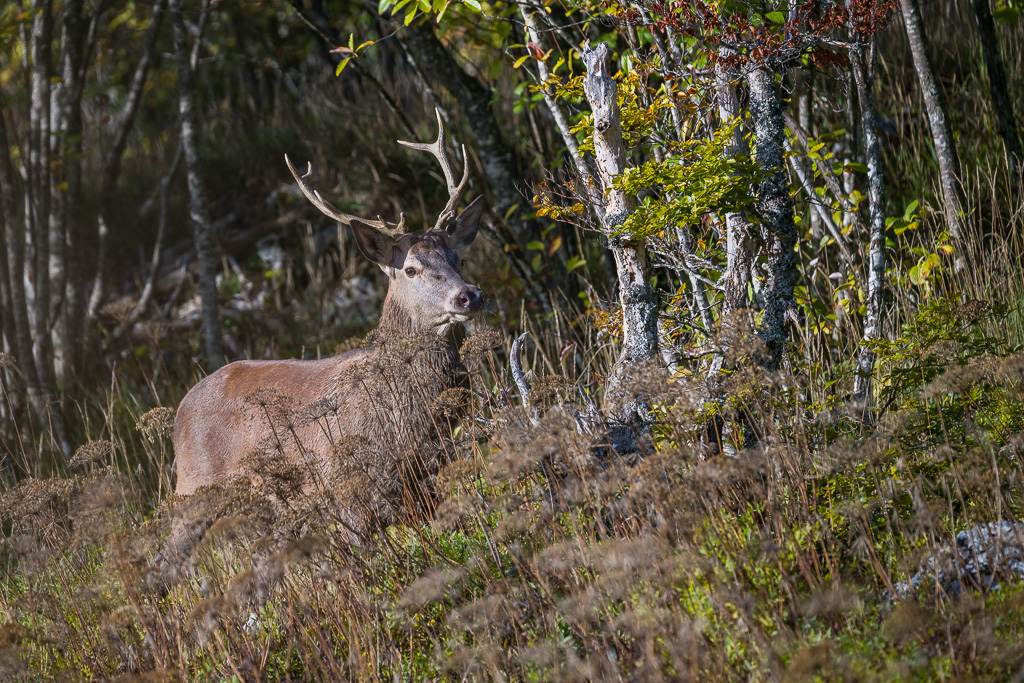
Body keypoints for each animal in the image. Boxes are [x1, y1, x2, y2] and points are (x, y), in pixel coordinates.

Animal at [161, 111, 485, 571]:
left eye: (458, 257)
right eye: (411, 268)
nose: (469, 295)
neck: (404, 419)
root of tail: (180, 410)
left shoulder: (429, 485)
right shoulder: (349, 492)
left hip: (269, 513)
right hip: (191, 491)